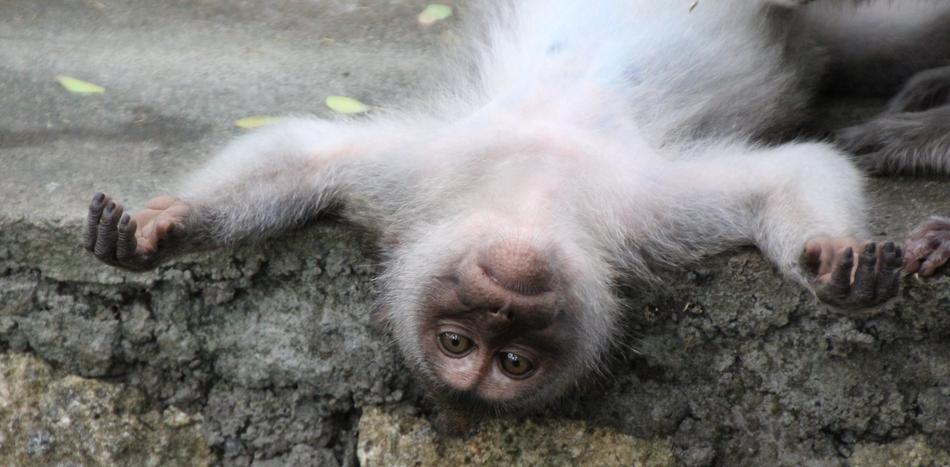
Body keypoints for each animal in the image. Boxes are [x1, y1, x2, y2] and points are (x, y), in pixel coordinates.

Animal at [83, 0, 950, 412]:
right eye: (466, 346)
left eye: (506, 353)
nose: (502, 303)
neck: (533, 192)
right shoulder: (436, 179)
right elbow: (306, 151)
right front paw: (171, 224)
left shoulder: (636, 206)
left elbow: (798, 169)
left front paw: (835, 258)